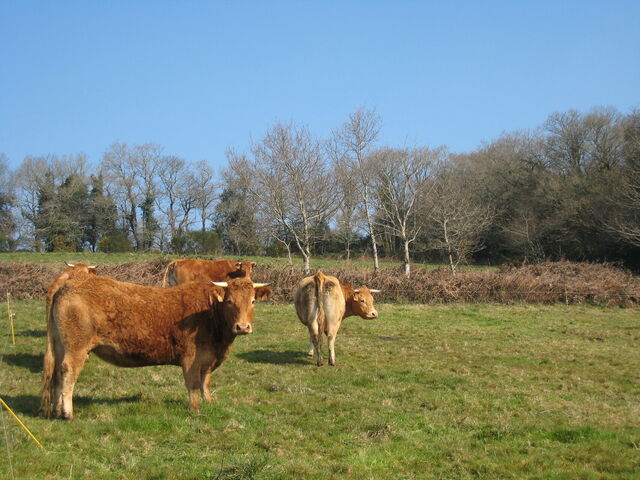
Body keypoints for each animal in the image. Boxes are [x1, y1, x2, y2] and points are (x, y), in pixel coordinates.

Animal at [41, 275, 270, 419]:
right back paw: (67, 412)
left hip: (60, 346)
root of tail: (68, 284)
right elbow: (193, 384)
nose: (242, 326)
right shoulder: (191, 358)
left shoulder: (208, 358)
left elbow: (206, 382)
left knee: (56, 374)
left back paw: (56, 410)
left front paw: (209, 402)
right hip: (76, 348)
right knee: (68, 372)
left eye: (253, 301)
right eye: (229, 301)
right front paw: (195, 409)